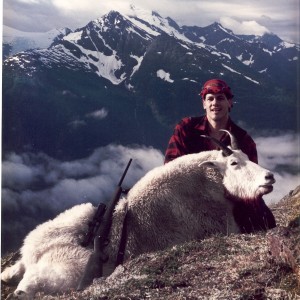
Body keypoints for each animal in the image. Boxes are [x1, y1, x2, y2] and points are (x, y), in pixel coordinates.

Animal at [1, 133, 276, 298]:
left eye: (248, 156)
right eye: (233, 163)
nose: (270, 177)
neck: (207, 184)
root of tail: (34, 252)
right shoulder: (223, 228)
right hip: (61, 274)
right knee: (23, 291)